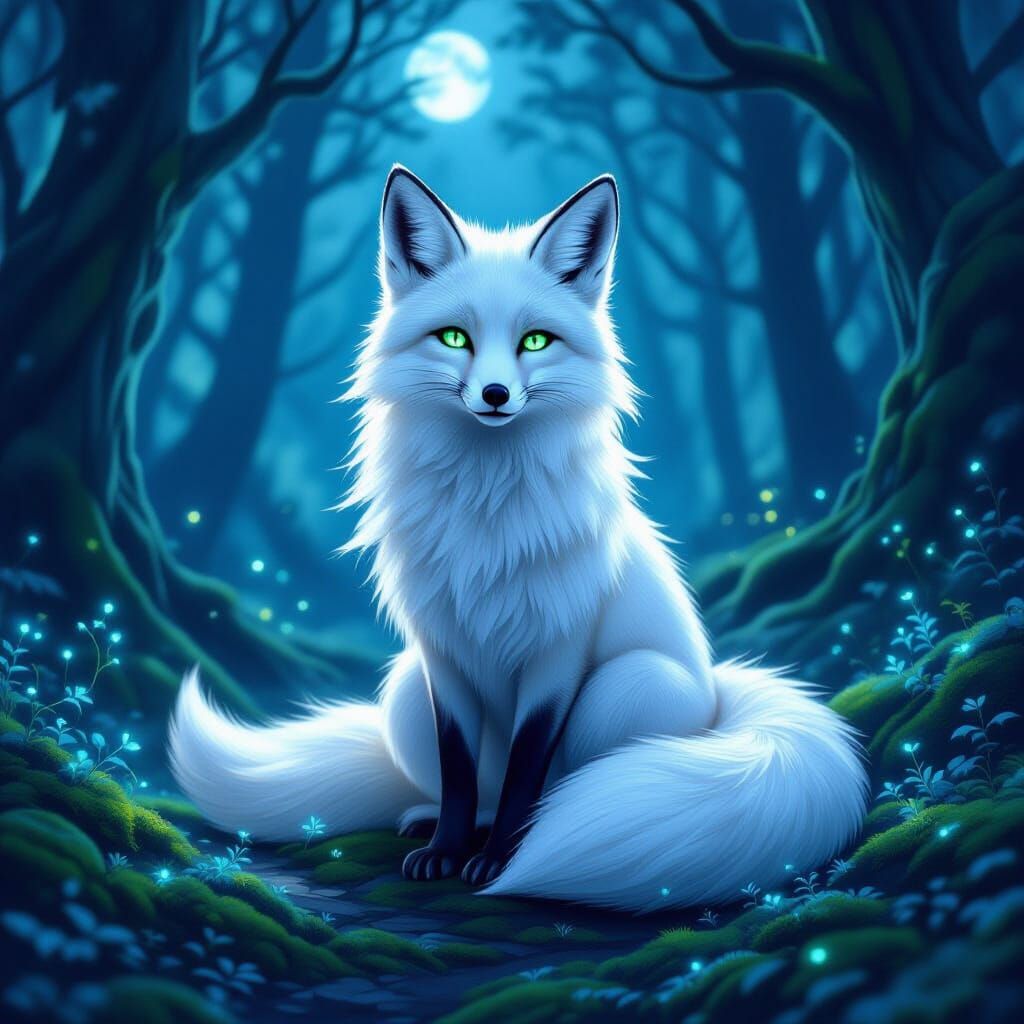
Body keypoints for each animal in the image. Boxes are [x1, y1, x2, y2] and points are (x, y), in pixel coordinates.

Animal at [169, 166, 868, 913]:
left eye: (536, 342)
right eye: (454, 338)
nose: (497, 395)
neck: (486, 515)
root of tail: (718, 694)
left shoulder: (559, 653)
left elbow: (527, 775)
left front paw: (502, 860)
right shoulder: (441, 653)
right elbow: (459, 770)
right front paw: (445, 851)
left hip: (623, 687)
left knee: (568, 786)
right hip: (403, 693)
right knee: (468, 784)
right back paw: (430, 822)